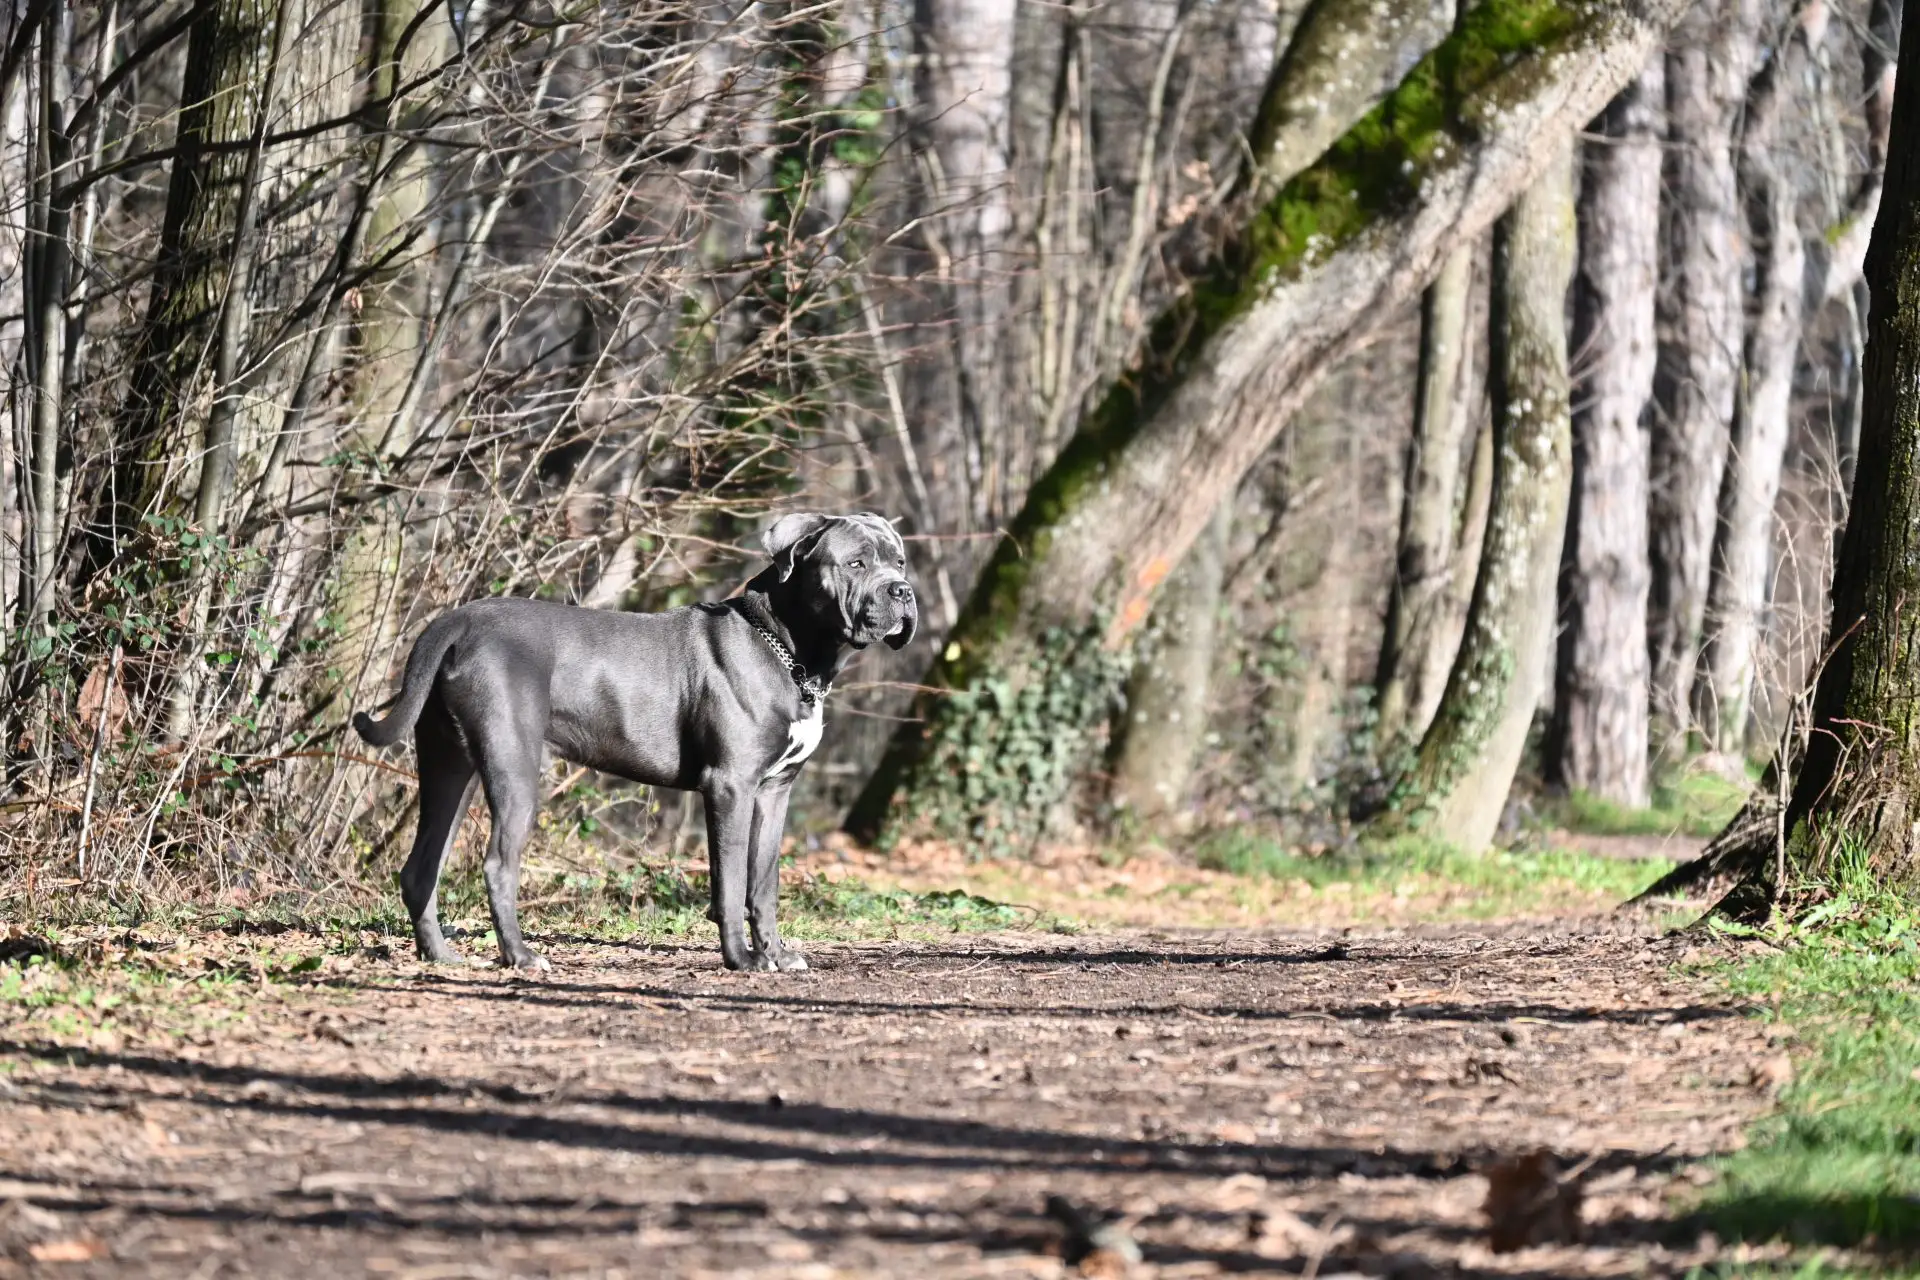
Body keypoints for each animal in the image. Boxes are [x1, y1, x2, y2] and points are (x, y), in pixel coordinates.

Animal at [357, 510, 917, 971]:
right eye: (856, 563)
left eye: (899, 561)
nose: (903, 591)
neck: (790, 649)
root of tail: (458, 619)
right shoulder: (731, 786)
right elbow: (731, 881)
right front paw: (742, 959)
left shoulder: (774, 792)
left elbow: (763, 882)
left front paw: (776, 954)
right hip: (513, 769)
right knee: (497, 866)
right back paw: (521, 956)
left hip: (452, 767)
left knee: (421, 868)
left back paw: (441, 955)